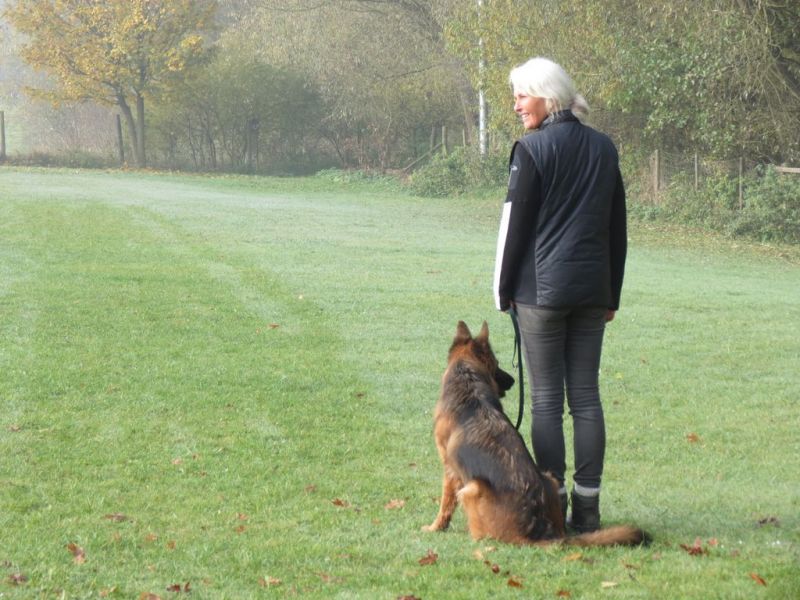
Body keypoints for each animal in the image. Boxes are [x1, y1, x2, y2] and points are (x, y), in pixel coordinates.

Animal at [422, 320, 648, 547]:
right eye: (497, 363)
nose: (512, 380)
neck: (467, 379)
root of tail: (538, 532)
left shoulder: (450, 471)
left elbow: (445, 504)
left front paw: (435, 527)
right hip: (550, 478)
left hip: (472, 488)